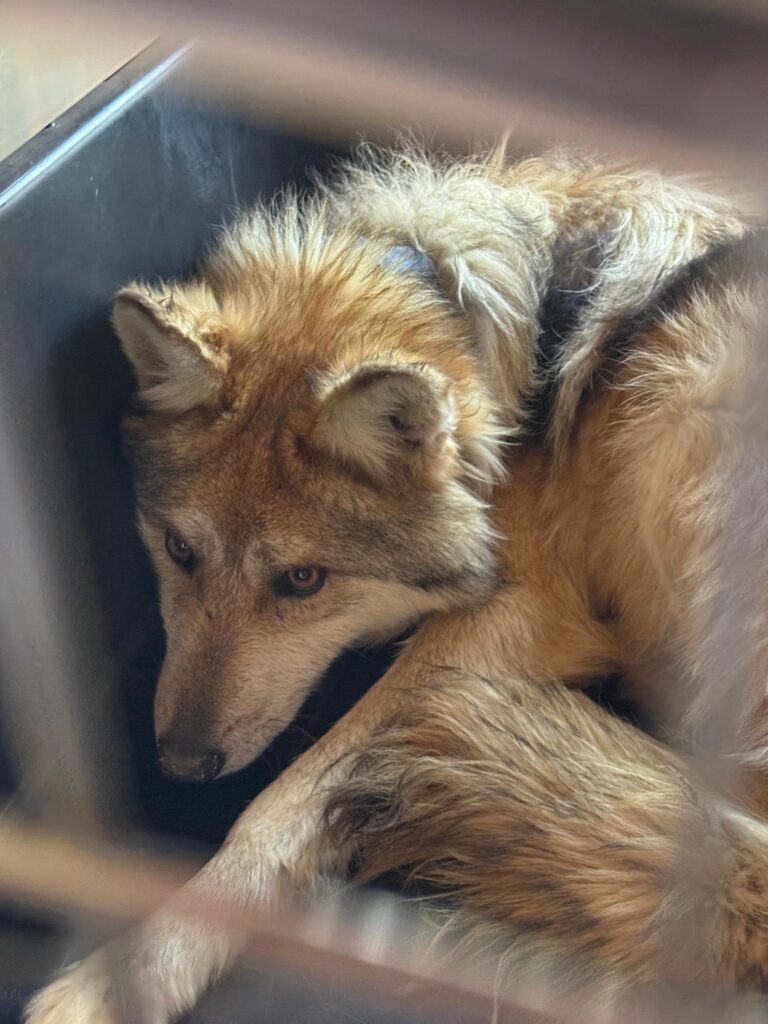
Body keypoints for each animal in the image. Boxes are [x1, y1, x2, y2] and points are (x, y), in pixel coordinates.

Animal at [27, 147, 768, 1022]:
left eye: (303, 580)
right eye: (180, 549)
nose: (179, 764)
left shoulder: (514, 613)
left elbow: (277, 805)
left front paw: (133, 972)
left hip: (691, 395)